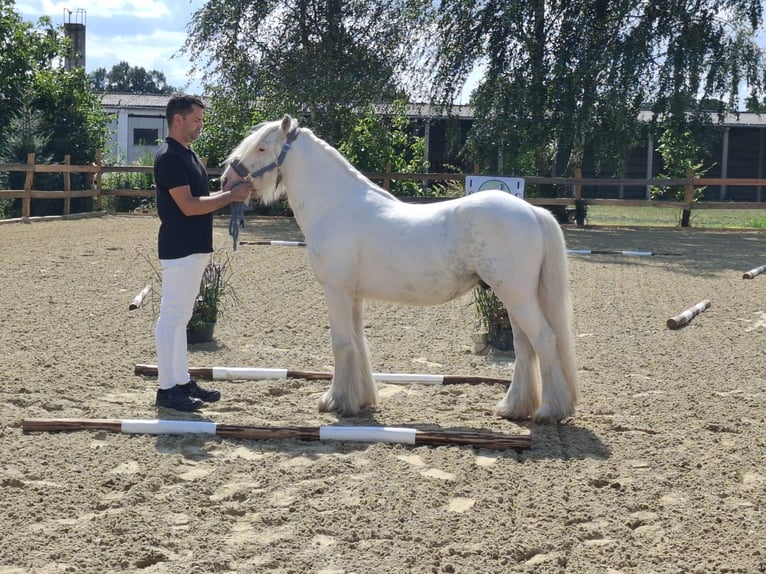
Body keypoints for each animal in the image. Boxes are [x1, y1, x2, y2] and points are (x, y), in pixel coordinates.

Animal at [219, 115, 580, 426]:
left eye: (261, 148)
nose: (227, 180)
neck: (335, 205)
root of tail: (531, 210)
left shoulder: (336, 291)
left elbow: (341, 343)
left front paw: (335, 401)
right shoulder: (353, 296)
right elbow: (358, 342)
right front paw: (360, 400)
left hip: (516, 295)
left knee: (543, 340)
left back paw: (549, 411)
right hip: (515, 297)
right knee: (525, 345)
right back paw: (514, 407)